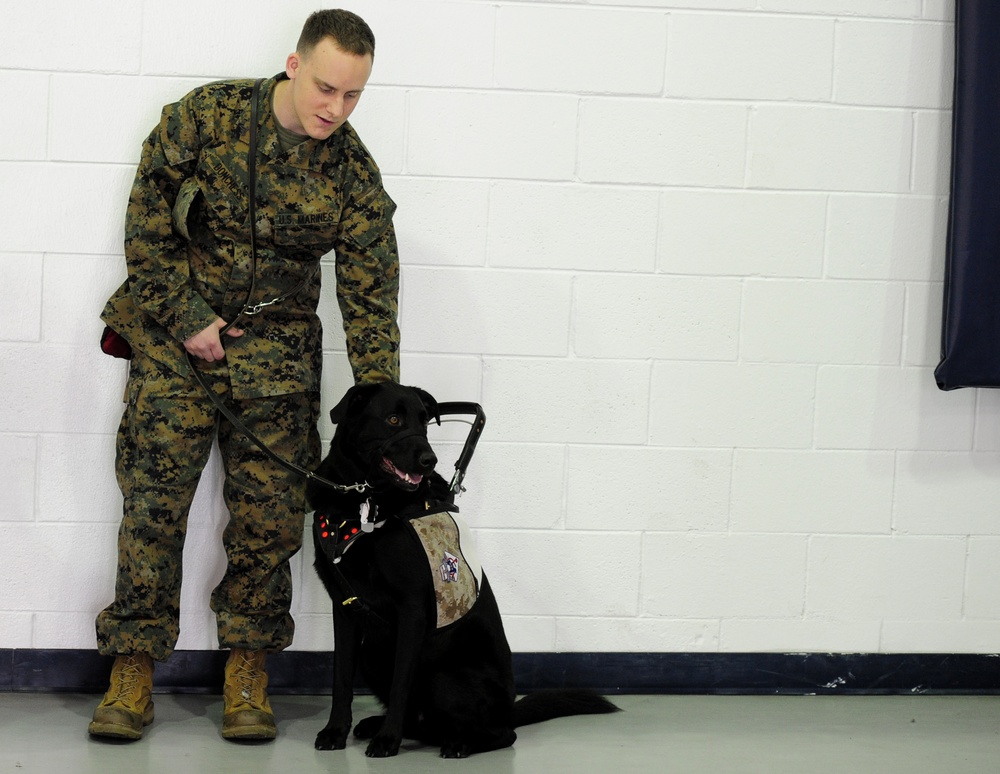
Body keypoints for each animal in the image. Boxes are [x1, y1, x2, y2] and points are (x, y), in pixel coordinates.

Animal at [304, 384, 616, 760]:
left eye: (424, 422)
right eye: (393, 419)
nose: (430, 461)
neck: (365, 503)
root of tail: (509, 708)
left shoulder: (412, 611)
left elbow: (400, 684)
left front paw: (388, 740)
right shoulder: (346, 605)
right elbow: (341, 679)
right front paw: (336, 731)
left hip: (443, 676)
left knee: (502, 734)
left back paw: (458, 743)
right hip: (373, 652)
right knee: (423, 721)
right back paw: (381, 726)